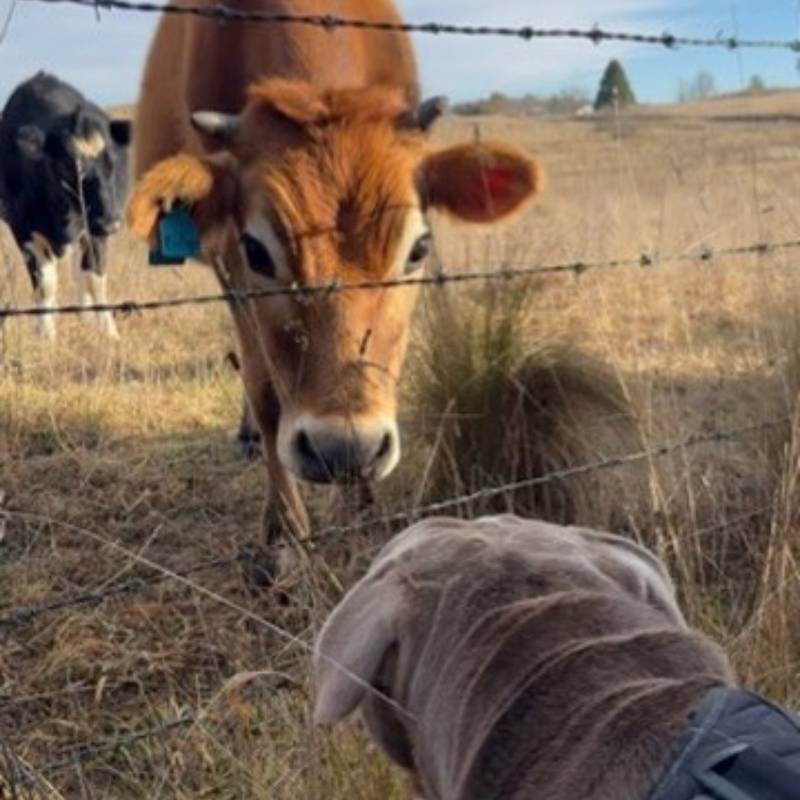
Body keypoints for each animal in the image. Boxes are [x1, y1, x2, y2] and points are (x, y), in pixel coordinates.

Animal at [0, 72, 131, 340]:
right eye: (67, 166)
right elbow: (45, 285)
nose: (111, 223)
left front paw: (108, 332)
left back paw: (85, 316)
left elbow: (94, 280)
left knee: (79, 275)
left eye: (112, 163)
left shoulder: (94, 232)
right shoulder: (24, 231)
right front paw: (45, 333)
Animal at [127, 0, 543, 584]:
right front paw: (285, 536)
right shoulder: (229, 264)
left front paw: (359, 502)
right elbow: (266, 392)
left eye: (419, 247)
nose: (344, 449)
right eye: (257, 250)